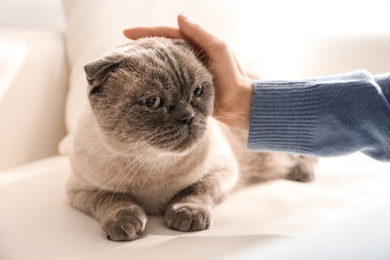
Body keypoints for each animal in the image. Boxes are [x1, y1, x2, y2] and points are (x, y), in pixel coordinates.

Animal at [67, 36, 316, 242]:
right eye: (153, 102)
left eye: (197, 91)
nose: (187, 116)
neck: (152, 162)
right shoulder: (80, 191)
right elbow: (113, 199)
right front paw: (124, 224)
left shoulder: (223, 171)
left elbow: (194, 191)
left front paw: (186, 215)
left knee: (306, 154)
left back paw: (302, 173)